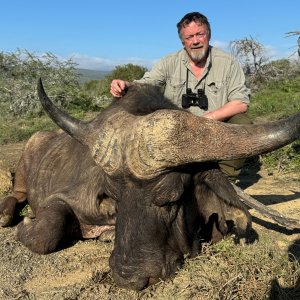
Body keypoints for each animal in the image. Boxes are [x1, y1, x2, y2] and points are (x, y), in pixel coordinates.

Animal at [1, 78, 300, 290]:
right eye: (114, 197)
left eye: (171, 198)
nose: (128, 278)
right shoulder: (63, 200)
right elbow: (44, 233)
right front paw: (27, 223)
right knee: (16, 194)